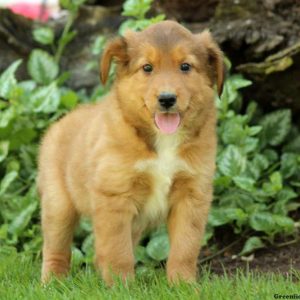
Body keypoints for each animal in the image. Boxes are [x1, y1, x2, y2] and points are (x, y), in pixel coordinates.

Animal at [38, 20, 223, 286]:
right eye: (147, 68)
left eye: (185, 66)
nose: (167, 99)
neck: (163, 142)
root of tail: (61, 121)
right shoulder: (114, 196)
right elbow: (118, 251)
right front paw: (121, 288)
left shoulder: (192, 196)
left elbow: (184, 248)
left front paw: (183, 286)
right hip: (58, 204)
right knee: (56, 248)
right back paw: (52, 282)